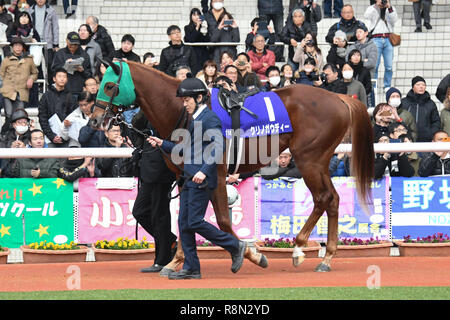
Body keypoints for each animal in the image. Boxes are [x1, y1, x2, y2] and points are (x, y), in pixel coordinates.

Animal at [89, 61, 374, 274]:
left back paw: (299, 248)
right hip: (320, 160)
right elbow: (184, 221)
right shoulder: (185, 176)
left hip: (309, 159)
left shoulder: (214, 172)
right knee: (333, 198)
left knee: (323, 197)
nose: (94, 120)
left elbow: (222, 221)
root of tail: (340, 97)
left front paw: (251, 253)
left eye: (110, 85)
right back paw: (327, 256)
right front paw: (175, 260)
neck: (185, 112)